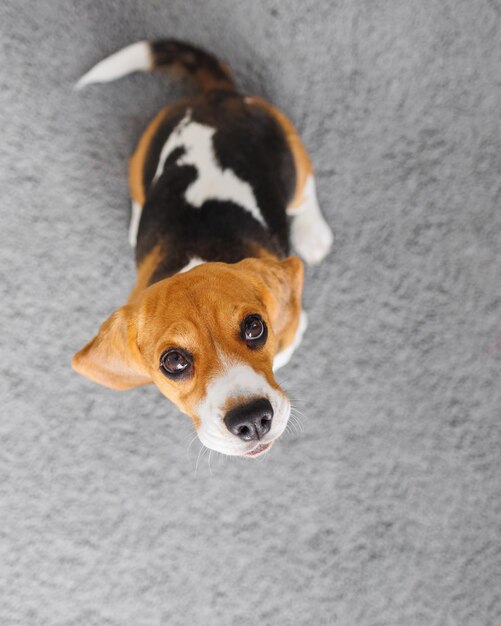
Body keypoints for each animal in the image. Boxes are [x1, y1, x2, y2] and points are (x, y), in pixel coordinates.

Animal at [71, 40, 332, 458]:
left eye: (255, 327)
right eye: (174, 361)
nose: (252, 420)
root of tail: (216, 97)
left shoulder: (292, 327)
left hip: (293, 155)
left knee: (304, 192)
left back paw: (313, 233)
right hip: (140, 162)